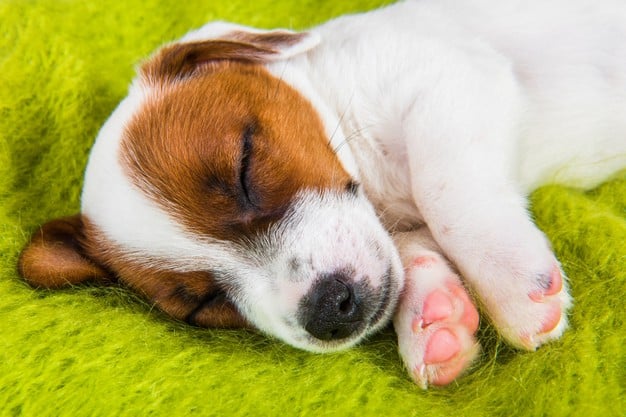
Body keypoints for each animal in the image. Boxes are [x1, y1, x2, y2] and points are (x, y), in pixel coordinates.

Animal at [17, 0, 620, 386]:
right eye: (205, 304)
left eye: (245, 166)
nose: (330, 310)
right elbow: (411, 248)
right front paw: (435, 316)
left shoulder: (448, 76)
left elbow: (443, 191)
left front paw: (512, 285)